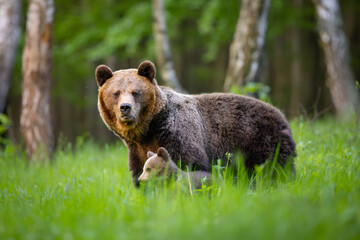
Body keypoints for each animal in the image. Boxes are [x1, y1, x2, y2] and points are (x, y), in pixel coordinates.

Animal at [95, 61, 296, 187]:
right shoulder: (137, 151)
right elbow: (139, 174)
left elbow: (191, 164)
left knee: (276, 169)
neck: (148, 130)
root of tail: (281, 115)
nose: (125, 108)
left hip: (261, 141)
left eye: (135, 92)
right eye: (116, 93)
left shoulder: (178, 133)